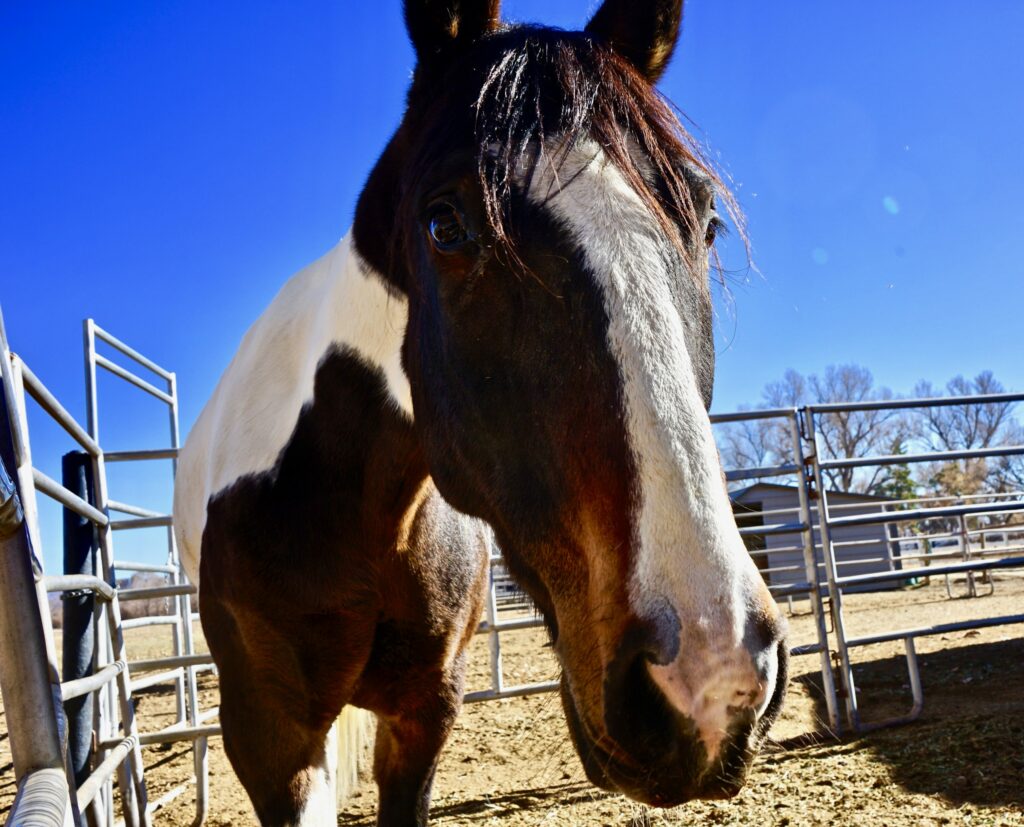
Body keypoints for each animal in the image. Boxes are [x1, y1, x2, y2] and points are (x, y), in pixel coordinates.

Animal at [174, 0, 782, 822]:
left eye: (708, 221)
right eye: (445, 225)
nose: (712, 672)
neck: (352, 504)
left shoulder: (424, 713)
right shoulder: (273, 741)